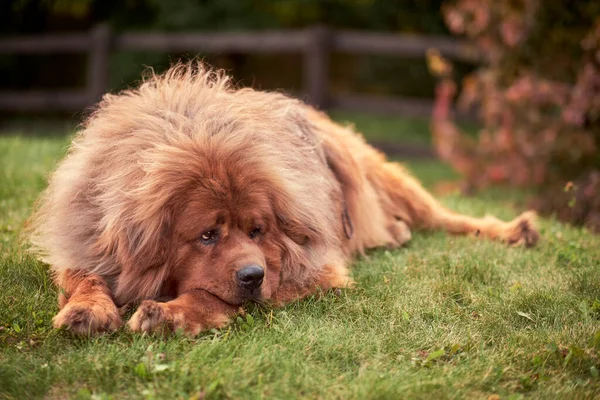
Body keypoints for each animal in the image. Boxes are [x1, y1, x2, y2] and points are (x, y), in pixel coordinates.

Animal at [27, 63, 540, 338]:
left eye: (257, 231)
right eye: (207, 235)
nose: (253, 275)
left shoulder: (311, 269)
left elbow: (212, 296)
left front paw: (167, 314)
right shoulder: (88, 238)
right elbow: (84, 276)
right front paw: (88, 310)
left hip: (381, 173)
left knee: (444, 216)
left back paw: (515, 230)